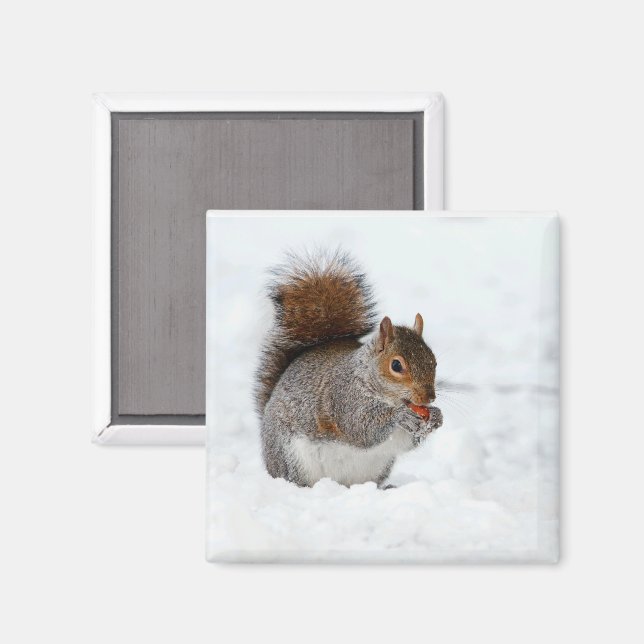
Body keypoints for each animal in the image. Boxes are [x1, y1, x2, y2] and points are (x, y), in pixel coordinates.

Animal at [255, 250, 443, 488]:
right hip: (291, 457)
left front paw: (436, 417)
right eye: (396, 365)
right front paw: (399, 416)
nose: (429, 398)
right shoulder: (344, 397)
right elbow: (361, 428)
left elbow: (407, 442)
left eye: (434, 361)